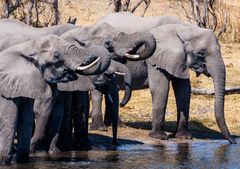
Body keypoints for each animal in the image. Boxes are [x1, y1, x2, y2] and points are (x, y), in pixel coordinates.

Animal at [0, 33, 112, 164]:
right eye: (56, 56)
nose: (108, 42)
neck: (27, 47)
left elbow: (27, 122)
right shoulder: (7, 92)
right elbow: (13, 122)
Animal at [92, 11, 236, 143]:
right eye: (201, 53)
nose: (232, 142)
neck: (184, 29)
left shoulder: (178, 59)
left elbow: (184, 90)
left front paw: (184, 137)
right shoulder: (156, 58)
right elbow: (160, 88)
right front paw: (159, 137)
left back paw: (113, 124)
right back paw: (100, 128)